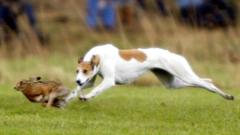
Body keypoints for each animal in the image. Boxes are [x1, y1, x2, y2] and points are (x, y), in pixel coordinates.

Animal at [65, 44, 232, 101]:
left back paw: (227, 96)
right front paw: (68, 98)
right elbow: (77, 90)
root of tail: (174, 54)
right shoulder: (89, 81)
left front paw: (86, 97)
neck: (98, 56)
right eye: (77, 71)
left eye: (85, 70)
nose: (77, 80)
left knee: (206, 84)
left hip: (184, 74)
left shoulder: (108, 81)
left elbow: (96, 90)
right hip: (173, 83)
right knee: (205, 82)